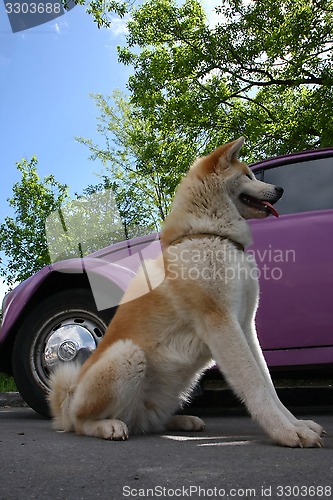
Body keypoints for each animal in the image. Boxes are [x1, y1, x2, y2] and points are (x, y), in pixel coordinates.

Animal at [48, 138, 322, 450]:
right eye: (249, 175)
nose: (280, 189)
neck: (209, 234)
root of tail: (67, 398)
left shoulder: (245, 325)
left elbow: (268, 383)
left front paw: (297, 423)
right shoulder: (221, 323)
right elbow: (254, 384)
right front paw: (285, 432)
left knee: (146, 423)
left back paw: (180, 421)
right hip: (126, 354)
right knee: (81, 423)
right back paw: (107, 426)